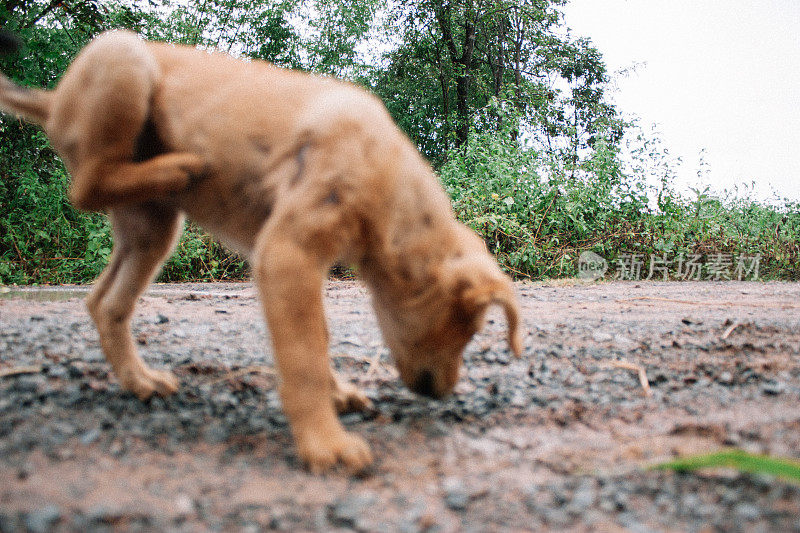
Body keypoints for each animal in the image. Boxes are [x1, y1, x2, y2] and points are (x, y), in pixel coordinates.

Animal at [0, 30, 520, 470]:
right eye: (468, 329)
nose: (445, 395)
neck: (388, 186)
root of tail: (55, 99)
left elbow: (316, 344)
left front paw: (337, 399)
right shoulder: (288, 257)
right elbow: (305, 357)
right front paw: (326, 445)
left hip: (151, 228)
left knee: (105, 300)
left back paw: (140, 380)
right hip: (124, 57)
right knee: (86, 187)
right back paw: (183, 165)